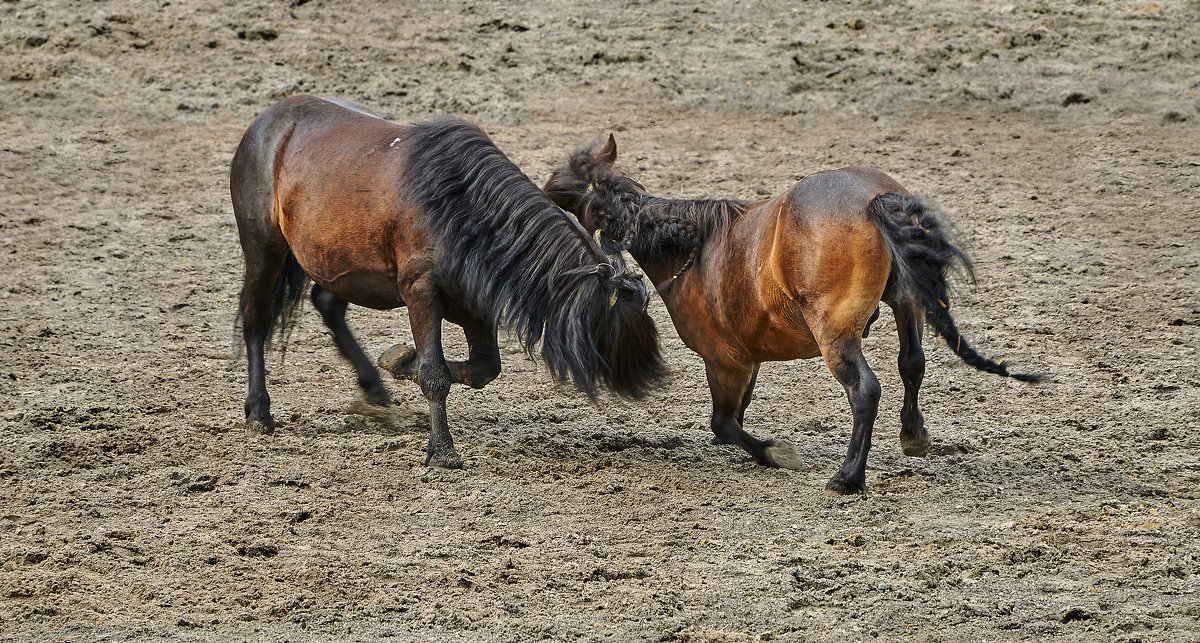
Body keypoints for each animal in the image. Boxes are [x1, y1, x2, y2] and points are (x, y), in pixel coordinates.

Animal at [231, 95, 667, 467]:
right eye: (620, 322)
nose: (646, 379)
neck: (461, 208)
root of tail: (269, 120)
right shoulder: (420, 294)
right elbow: (435, 374)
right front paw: (441, 449)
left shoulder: (476, 307)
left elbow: (482, 369)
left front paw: (400, 362)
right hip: (263, 247)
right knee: (256, 319)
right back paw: (259, 412)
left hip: (344, 262)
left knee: (328, 304)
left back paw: (373, 387)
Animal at [547, 135, 1041, 491]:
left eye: (564, 189)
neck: (692, 247)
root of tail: (874, 198)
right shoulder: (748, 359)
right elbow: (736, 413)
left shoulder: (724, 361)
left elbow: (725, 422)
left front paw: (774, 453)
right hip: (906, 304)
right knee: (911, 365)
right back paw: (913, 436)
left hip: (834, 333)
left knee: (865, 390)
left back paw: (847, 478)